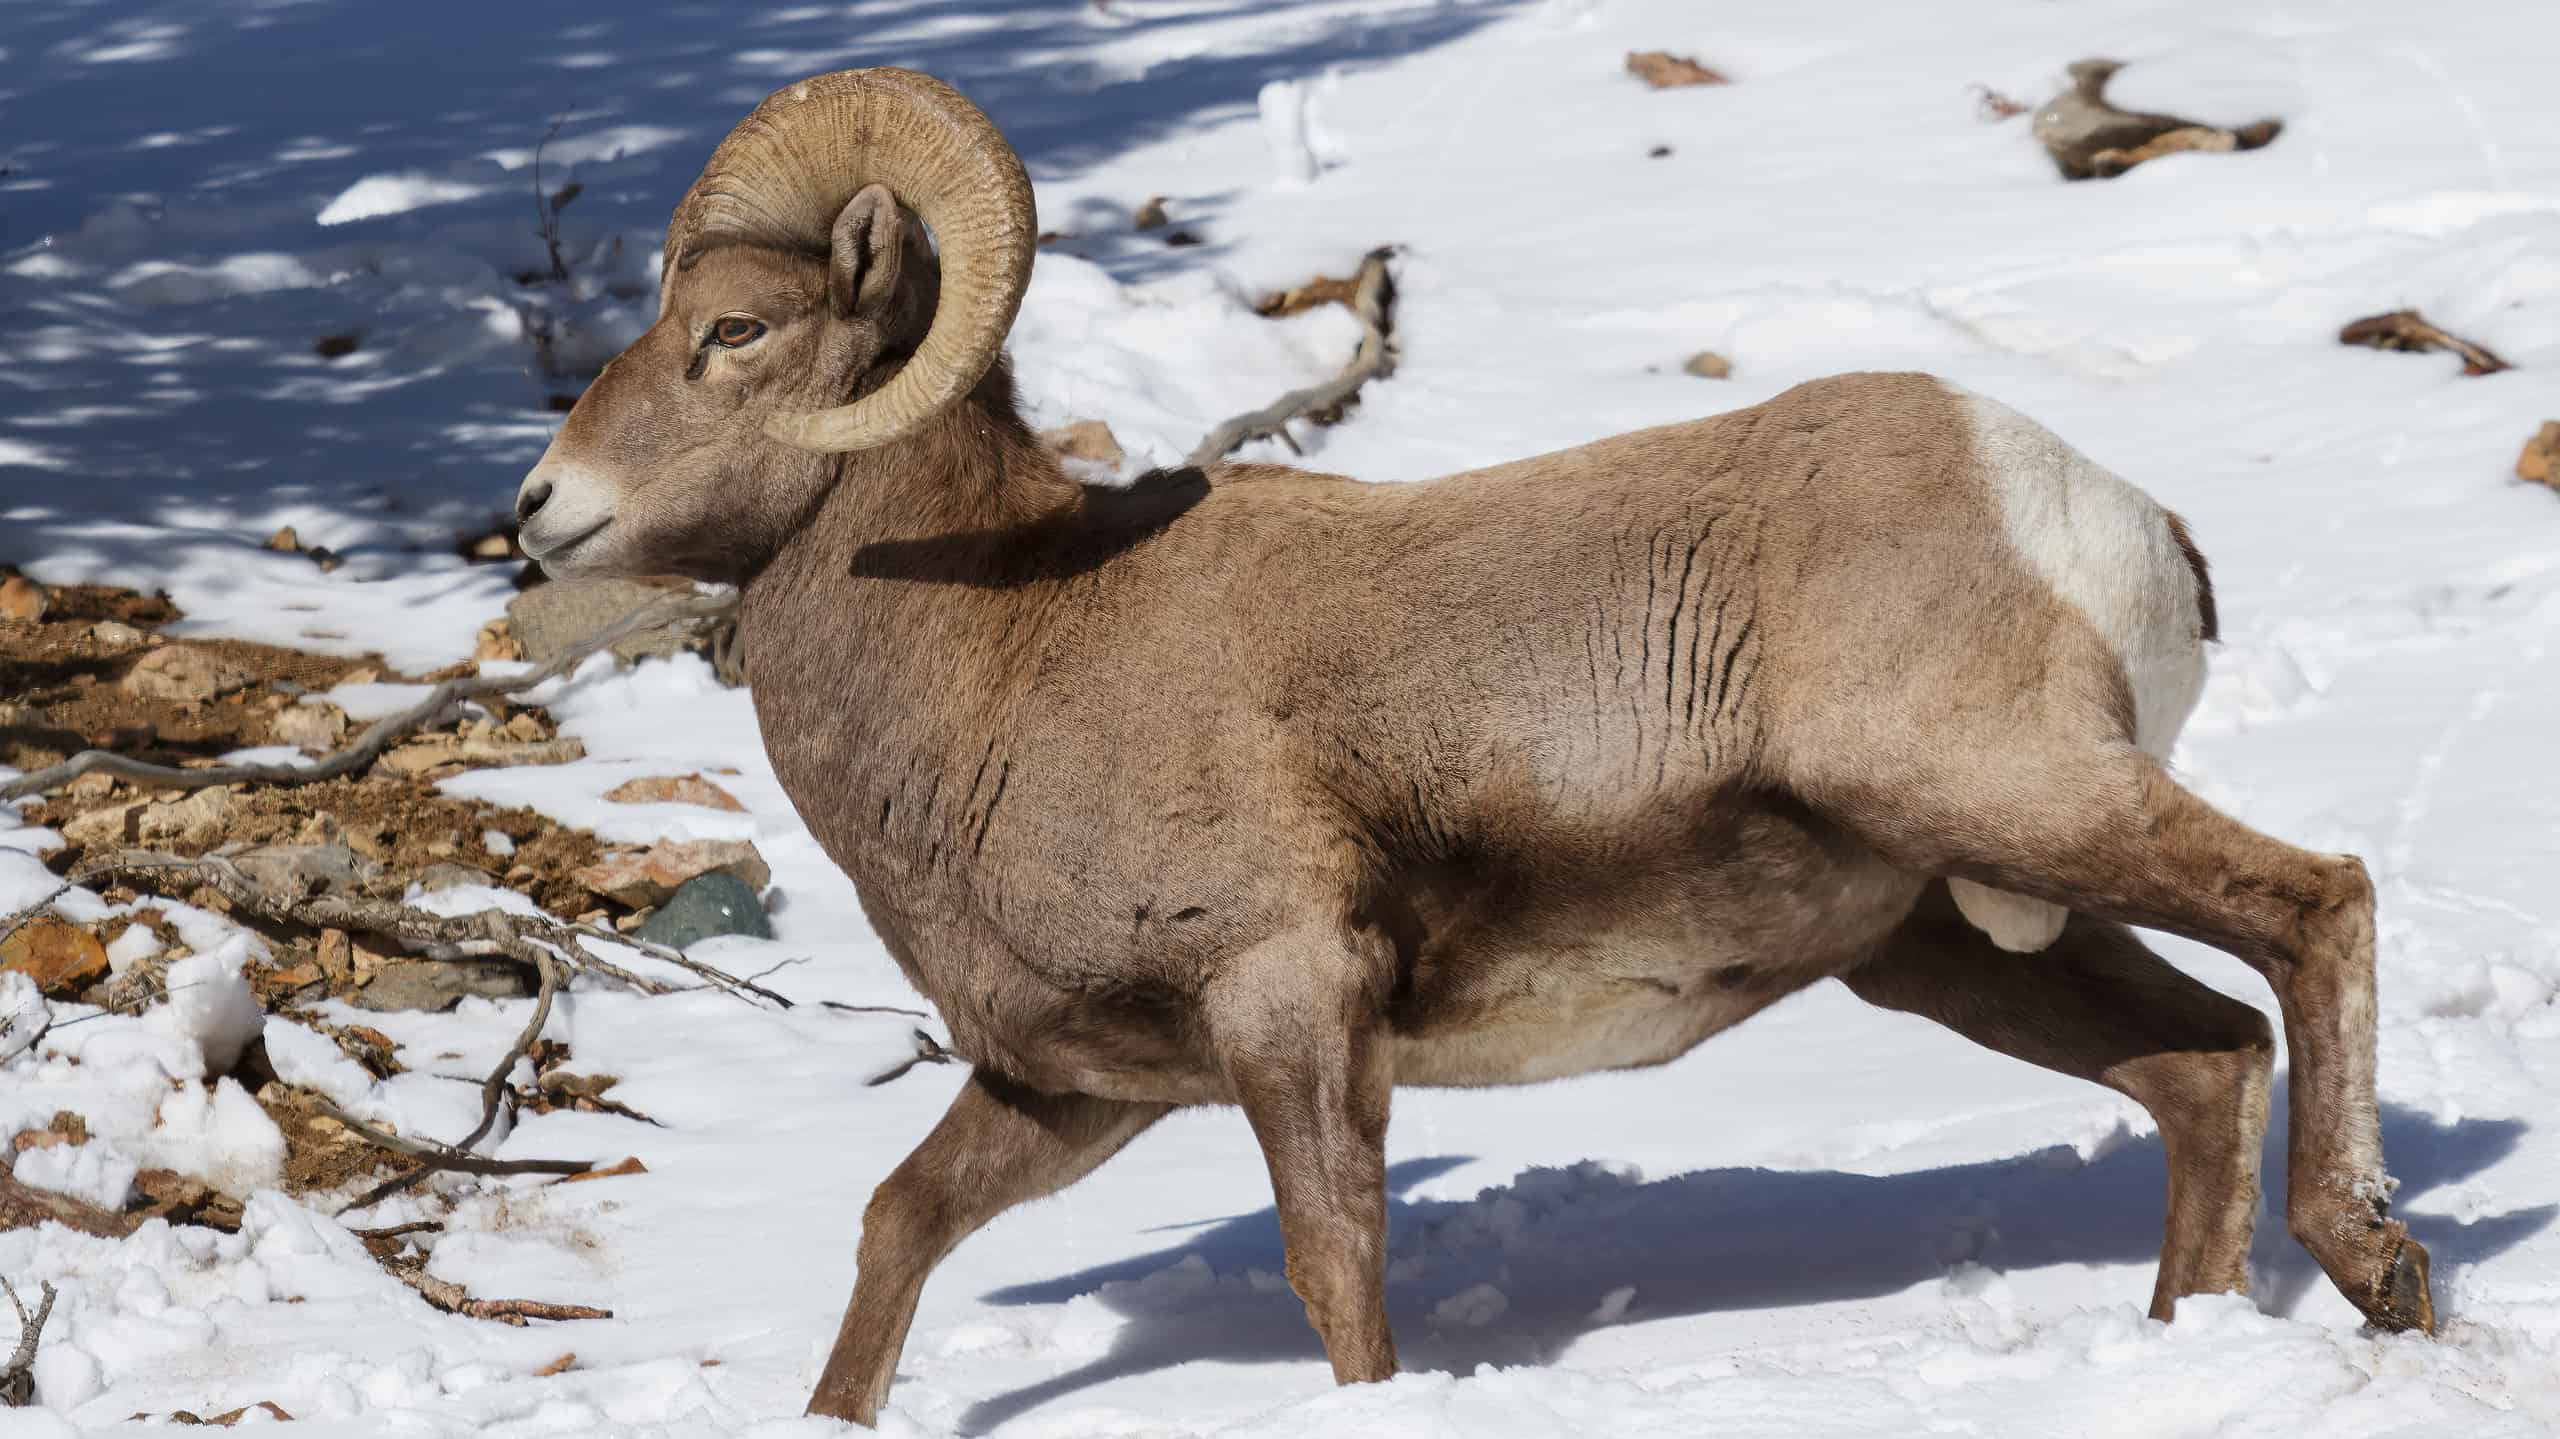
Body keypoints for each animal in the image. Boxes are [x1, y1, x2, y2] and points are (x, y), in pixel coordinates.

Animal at [514, 67, 2435, 1426]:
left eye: (737, 332)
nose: (536, 513)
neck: (1009, 646)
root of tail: (2106, 514)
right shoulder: (1080, 1083)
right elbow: (897, 1223)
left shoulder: (1290, 1003)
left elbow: (1335, 1266)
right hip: (1950, 934)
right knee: (2205, 1061)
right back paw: (2193, 1333)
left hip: (2008, 801)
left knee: (2314, 901)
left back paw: (2377, 1261)